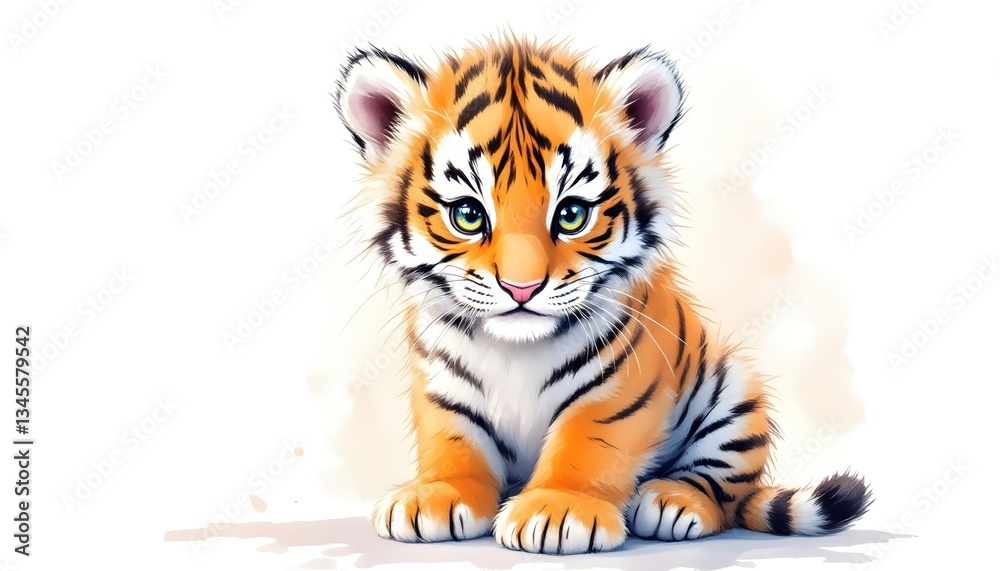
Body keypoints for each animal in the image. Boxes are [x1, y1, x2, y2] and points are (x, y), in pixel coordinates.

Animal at [334, 37, 871, 554]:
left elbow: (588, 443)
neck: (515, 349)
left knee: (723, 490)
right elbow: (452, 440)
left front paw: (559, 511)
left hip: (734, 394)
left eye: (571, 215)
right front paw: (436, 496)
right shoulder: (443, 383)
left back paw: (674, 502)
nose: (521, 288)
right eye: (468, 215)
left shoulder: (619, 388)